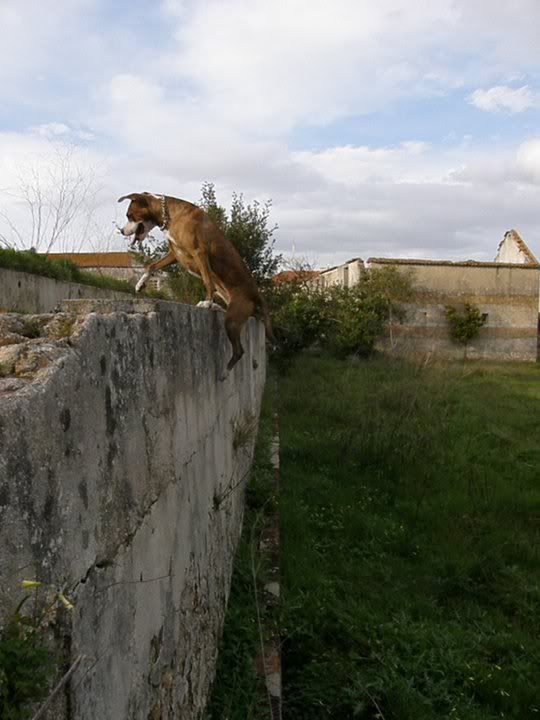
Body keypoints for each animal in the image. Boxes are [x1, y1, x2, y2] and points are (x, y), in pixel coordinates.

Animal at [116, 191, 272, 376]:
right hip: (233, 306)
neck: (170, 215)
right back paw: (217, 307)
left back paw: (224, 372)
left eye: (129, 215)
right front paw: (140, 284)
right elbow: (151, 266)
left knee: (239, 350)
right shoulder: (174, 254)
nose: (121, 231)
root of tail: (256, 293)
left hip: (232, 319)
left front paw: (207, 302)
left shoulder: (199, 252)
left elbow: (207, 280)